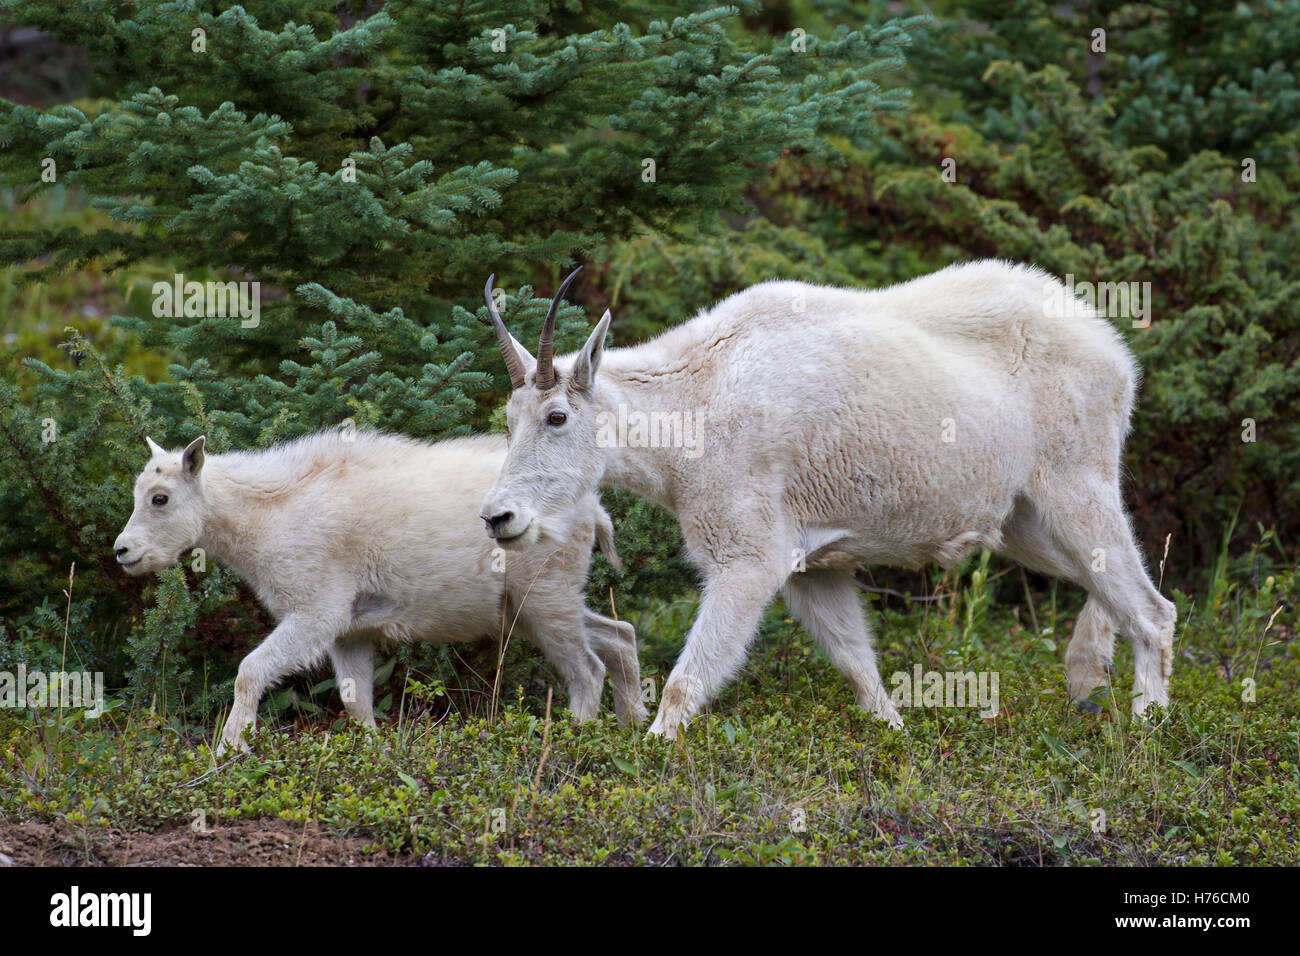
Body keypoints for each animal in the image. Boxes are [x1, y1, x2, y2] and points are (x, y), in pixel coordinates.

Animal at [113, 429, 644, 752]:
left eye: (160, 498)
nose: (123, 550)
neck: (266, 514)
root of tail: (595, 509)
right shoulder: (350, 631)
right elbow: (356, 700)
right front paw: (372, 751)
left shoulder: (317, 612)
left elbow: (250, 670)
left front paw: (229, 748)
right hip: (537, 606)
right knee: (620, 636)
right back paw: (636, 731)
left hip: (545, 596)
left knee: (588, 669)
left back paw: (576, 739)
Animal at [478, 261, 1176, 736]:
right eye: (510, 419)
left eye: (558, 416)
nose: (498, 517)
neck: (693, 408)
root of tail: (1116, 354)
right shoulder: (813, 567)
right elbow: (857, 664)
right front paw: (896, 735)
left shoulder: (750, 556)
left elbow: (688, 678)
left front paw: (651, 749)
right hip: (1024, 521)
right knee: (1108, 587)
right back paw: (1088, 676)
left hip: (1077, 483)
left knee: (1152, 608)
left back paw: (1146, 729)